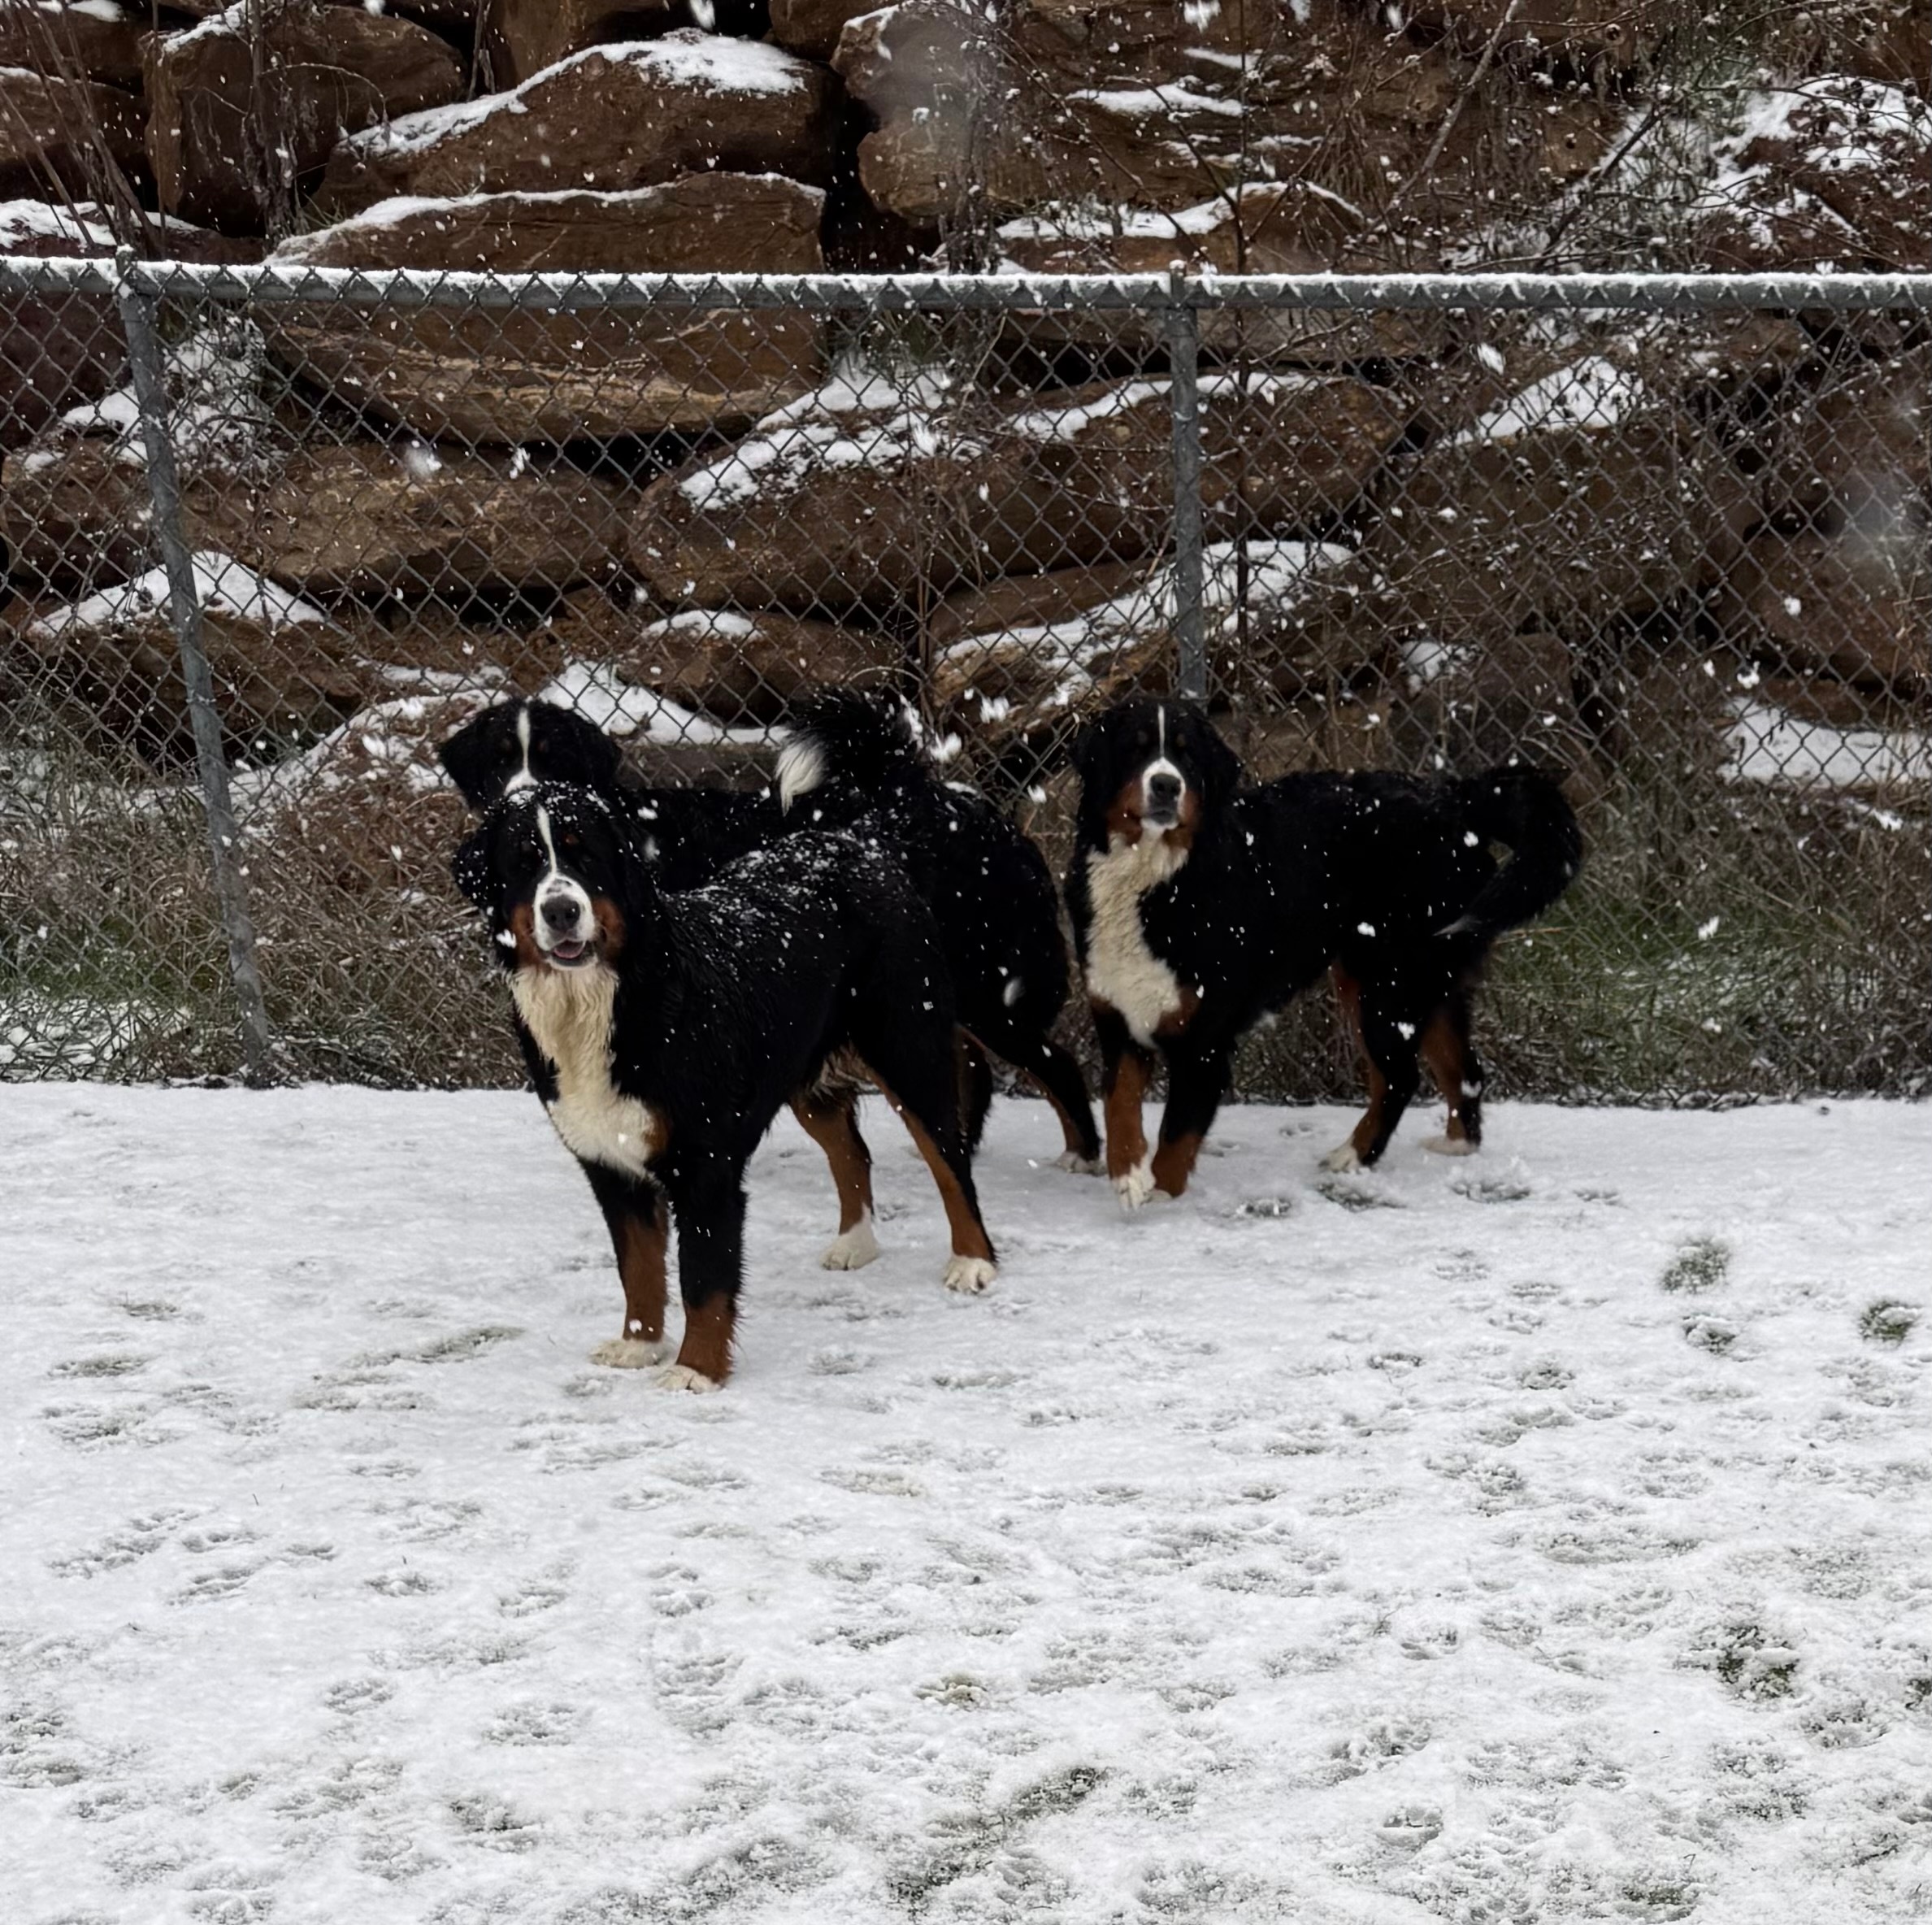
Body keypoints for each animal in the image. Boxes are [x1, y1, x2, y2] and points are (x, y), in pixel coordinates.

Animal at [442, 692, 1105, 1260]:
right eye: (497, 764)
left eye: (556, 759)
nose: (524, 799)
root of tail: (947, 799)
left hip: (985, 990)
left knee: (1052, 1063)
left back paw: (1080, 1155)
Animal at [449, 773, 996, 1391]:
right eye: (523, 863)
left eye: (585, 854)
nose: (562, 909)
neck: (611, 999)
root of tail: (853, 842)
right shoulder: (610, 1164)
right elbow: (637, 1266)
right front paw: (638, 1345)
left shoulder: (704, 1166)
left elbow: (703, 1279)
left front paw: (696, 1370)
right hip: (804, 1072)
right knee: (851, 1152)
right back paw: (854, 1243)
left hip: (908, 1050)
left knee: (950, 1160)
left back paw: (973, 1260)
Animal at [1058, 692, 1584, 1206]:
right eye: (1135, 750)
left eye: (1187, 757)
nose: (1167, 785)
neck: (1155, 878)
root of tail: (1452, 798)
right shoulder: (1119, 1016)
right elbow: (1119, 1104)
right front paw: (1128, 1176)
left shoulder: (1205, 1042)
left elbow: (1176, 1140)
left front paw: (1162, 1201)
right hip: (1419, 980)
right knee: (1463, 1070)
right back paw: (1455, 1145)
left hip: (1388, 981)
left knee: (1401, 1077)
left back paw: (1353, 1156)